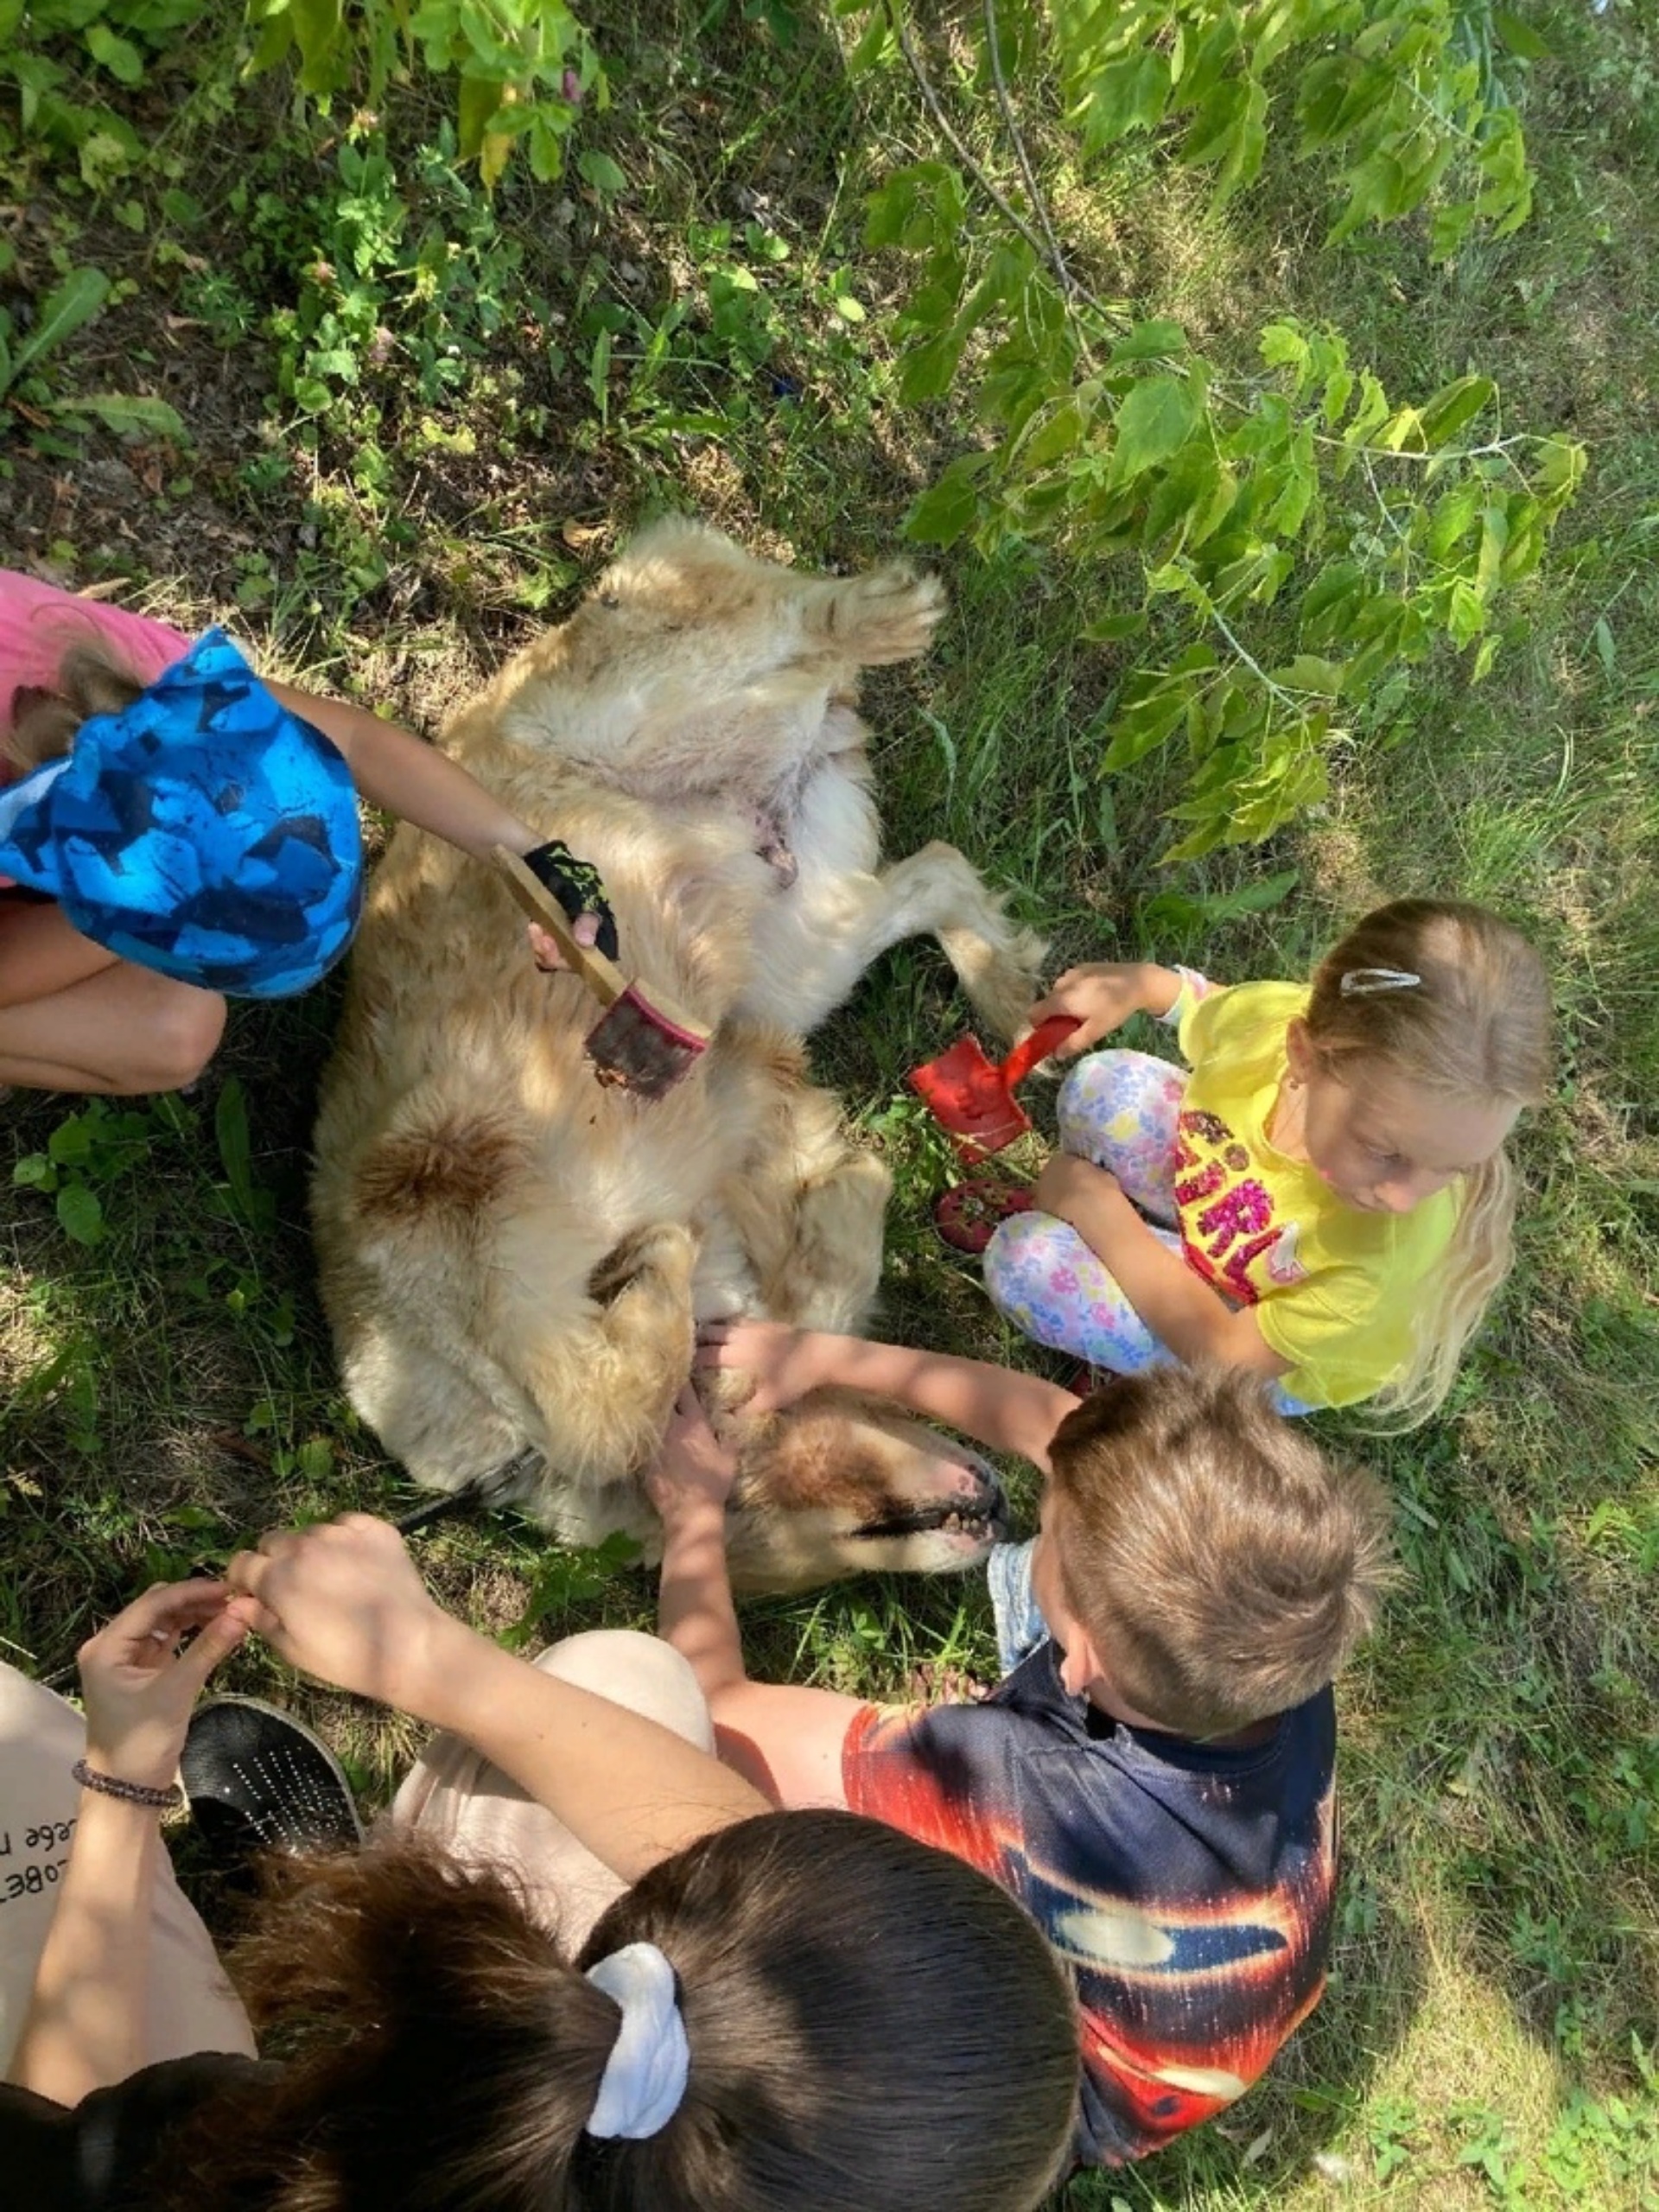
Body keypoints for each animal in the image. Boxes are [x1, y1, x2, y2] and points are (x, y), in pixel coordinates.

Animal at [309, 518, 1039, 1592]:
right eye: (854, 1550)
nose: (996, 1513)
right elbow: (658, 1381)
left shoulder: (446, 1174)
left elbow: (619, 1399)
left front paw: (675, 1267)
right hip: (796, 951)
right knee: (936, 871)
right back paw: (1009, 986)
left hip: (648, 705)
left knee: (789, 617)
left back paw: (883, 613)